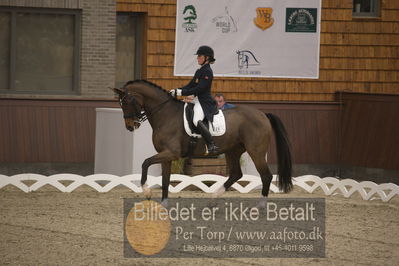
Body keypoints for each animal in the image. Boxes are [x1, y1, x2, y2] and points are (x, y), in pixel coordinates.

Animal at [112, 79, 294, 206]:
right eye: (120, 103)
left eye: (126, 102)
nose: (130, 126)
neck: (165, 114)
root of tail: (263, 114)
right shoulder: (166, 156)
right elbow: (165, 180)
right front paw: (163, 204)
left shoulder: (171, 153)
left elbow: (145, 163)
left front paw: (147, 191)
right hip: (233, 150)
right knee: (236, 174)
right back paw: (212, 200)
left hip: (256, 151)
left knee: (266, 176)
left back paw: (260, 206)